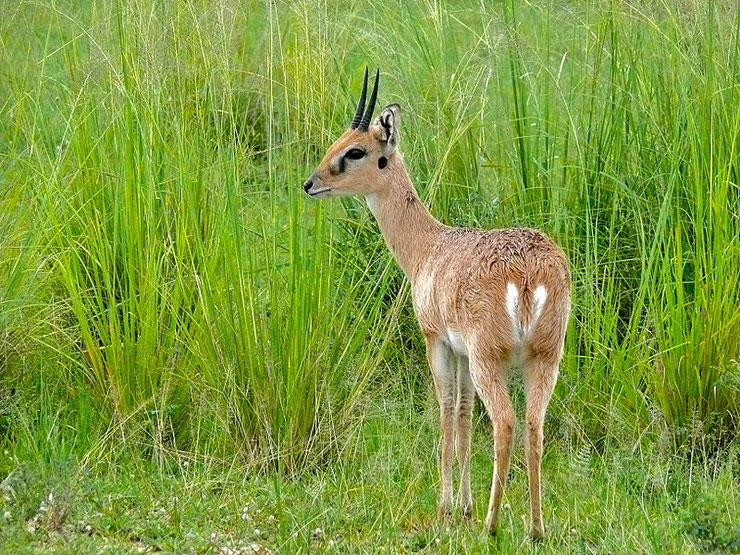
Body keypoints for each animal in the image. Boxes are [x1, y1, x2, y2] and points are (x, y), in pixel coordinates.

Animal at [304, 68, 568, 540]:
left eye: (355, 150)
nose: (310, 183)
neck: (429, 248)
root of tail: (529, 273)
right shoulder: (461, 353)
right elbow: (462, 415)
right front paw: (463, 505)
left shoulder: (437, 342)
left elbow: (445, 412)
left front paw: (447, 507)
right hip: (543, 359)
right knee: (534, 426)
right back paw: (535, 528)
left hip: (491, 359)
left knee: (505, 423)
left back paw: (492, 525)